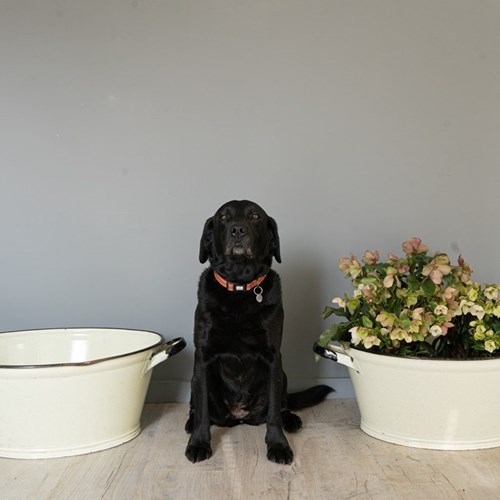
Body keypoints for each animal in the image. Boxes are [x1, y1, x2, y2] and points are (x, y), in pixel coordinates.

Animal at [185, 200, 332, 464]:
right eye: (223, 217)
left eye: (255, 216)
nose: (237, 230)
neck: (240, 287)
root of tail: (240, 416)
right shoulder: (203, 357)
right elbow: (202, 411)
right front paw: (199, 443)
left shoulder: (273, 358)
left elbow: (273, 413)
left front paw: (278, 445)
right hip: (195, 381)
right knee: (196, 406)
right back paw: (190, 423)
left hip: (283, 374)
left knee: (282, 405)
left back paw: (290, 419)